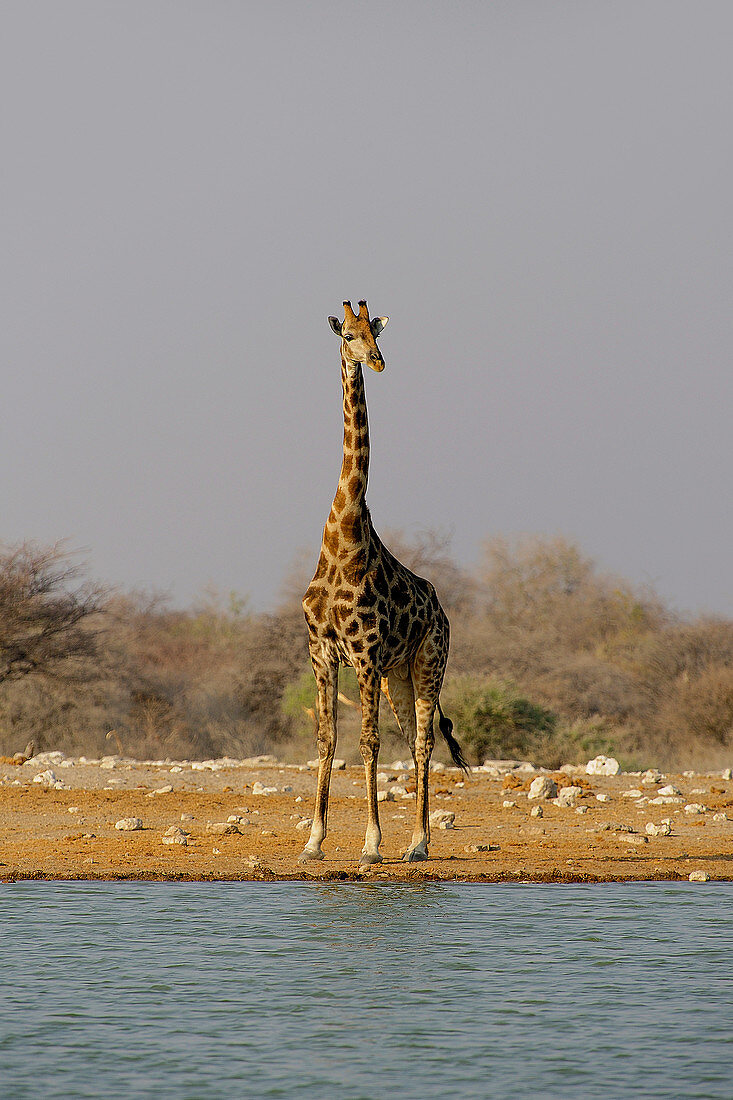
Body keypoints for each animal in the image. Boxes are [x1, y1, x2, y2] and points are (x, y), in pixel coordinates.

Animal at [299, 301, 464, 866]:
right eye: (348, 335)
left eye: (376, 334)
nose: (377, 361)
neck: (343, 541)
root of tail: (443, 612)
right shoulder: (322, 653)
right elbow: (327, 740)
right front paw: (313, 841)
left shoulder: (366, 653)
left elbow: (367, 742)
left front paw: (371, 844)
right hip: (400, 674)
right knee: (411, 737)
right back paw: (416, 839)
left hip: (428, 662)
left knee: (423, 742)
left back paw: (417, 843)